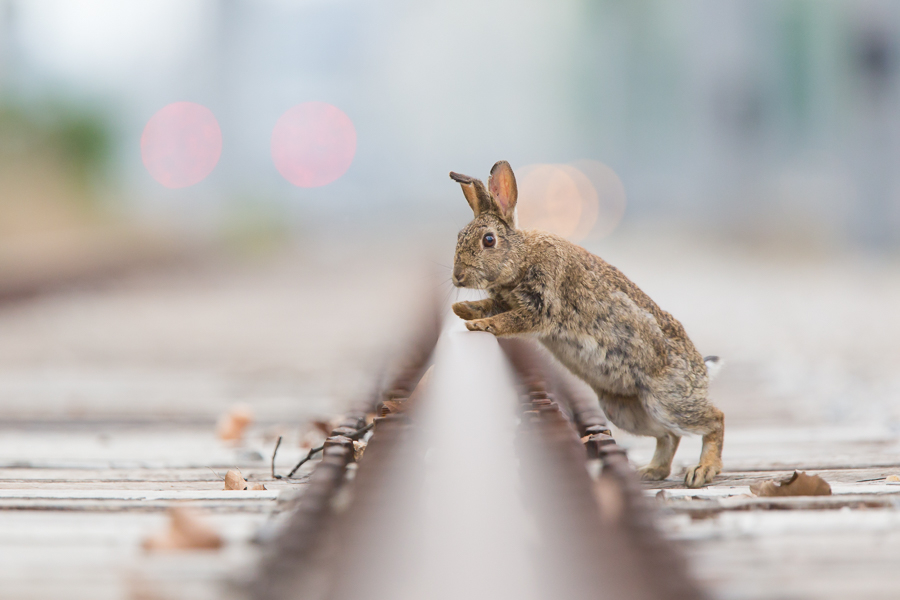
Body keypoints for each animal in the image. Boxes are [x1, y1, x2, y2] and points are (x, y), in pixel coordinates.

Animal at [449, 161, 724, 488]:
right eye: (458, 236)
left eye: (488, 240)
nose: (457, 277)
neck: (522, 256)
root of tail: (701, 371)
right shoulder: (508, 299)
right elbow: (492, 306)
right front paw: (461, 308)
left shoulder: (542, 306)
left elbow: (509, 319)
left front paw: (480, 324)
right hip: (625, 410)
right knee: (669, 436)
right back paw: (651, 471)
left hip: (668, 400)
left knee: (714, 419)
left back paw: (703, 470)